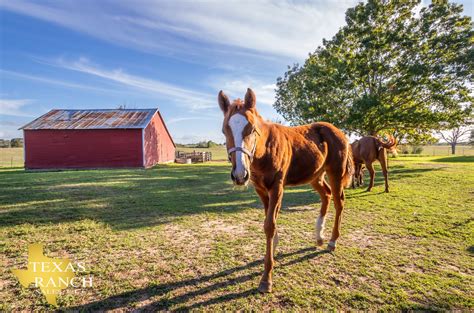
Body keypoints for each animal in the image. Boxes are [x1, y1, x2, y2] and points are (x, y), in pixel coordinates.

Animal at [218, 88, 352, 292]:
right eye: (225, 130)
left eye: (251, 128)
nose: (240, 175)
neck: (264, 150)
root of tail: (339, 132)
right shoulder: (261, 190)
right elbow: (268, 221)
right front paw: (272, 250)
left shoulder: (277, 188)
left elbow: (269, 225)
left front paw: (266, 277)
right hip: (315, 176)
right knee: (326, 195)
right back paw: (319, 236)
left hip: (335, 173)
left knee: (339, 202)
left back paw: (332, 241)